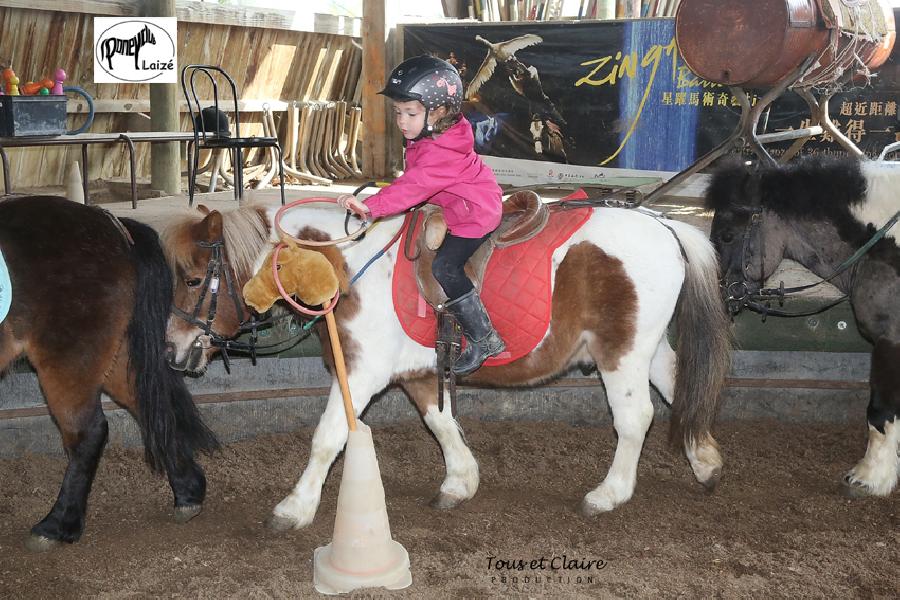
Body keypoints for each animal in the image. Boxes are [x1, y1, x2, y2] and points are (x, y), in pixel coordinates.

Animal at [0, 195, 218, 552]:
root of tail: (111, 224)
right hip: (114, 358)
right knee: (148, 407)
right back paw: (188, 492)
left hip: (69, 358)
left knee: (87, 432)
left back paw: (57, 525)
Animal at [165, 198, 736, 528]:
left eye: (193, 279)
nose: (172, 351)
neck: (341, 265)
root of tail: (665, 226)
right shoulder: (418, 372)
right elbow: (441, 423)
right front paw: (460, 482)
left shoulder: (362, 372)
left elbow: (328, 436)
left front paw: (294, 508)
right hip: (649, 347)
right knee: (679, 386)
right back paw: (706, 464)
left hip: (621, 350)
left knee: (635, 418)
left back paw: (608, 494)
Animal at [712, 157, 900, 500]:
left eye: (728, 235)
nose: (722, 297)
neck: (886, 243)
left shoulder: (889, 340)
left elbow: (880, 410)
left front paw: (869, 477)